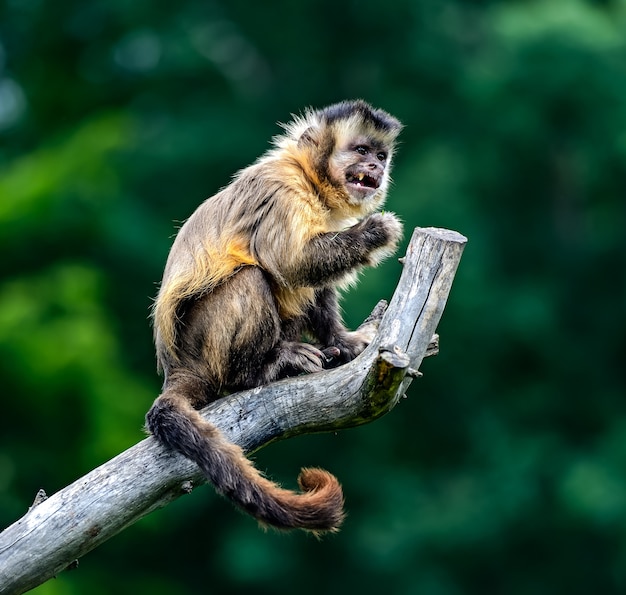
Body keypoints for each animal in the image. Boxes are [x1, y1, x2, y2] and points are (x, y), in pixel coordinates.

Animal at [144, 99, 402, 536]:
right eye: (362, 150)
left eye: (381, 155)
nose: (376, 167)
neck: (312, 180)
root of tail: (176, 367)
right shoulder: (283, 190)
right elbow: (289, 263)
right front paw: (374, 232)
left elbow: (312, 284)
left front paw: (343, 342)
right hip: (203, 349)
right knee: (253, 277)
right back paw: (259, 371)